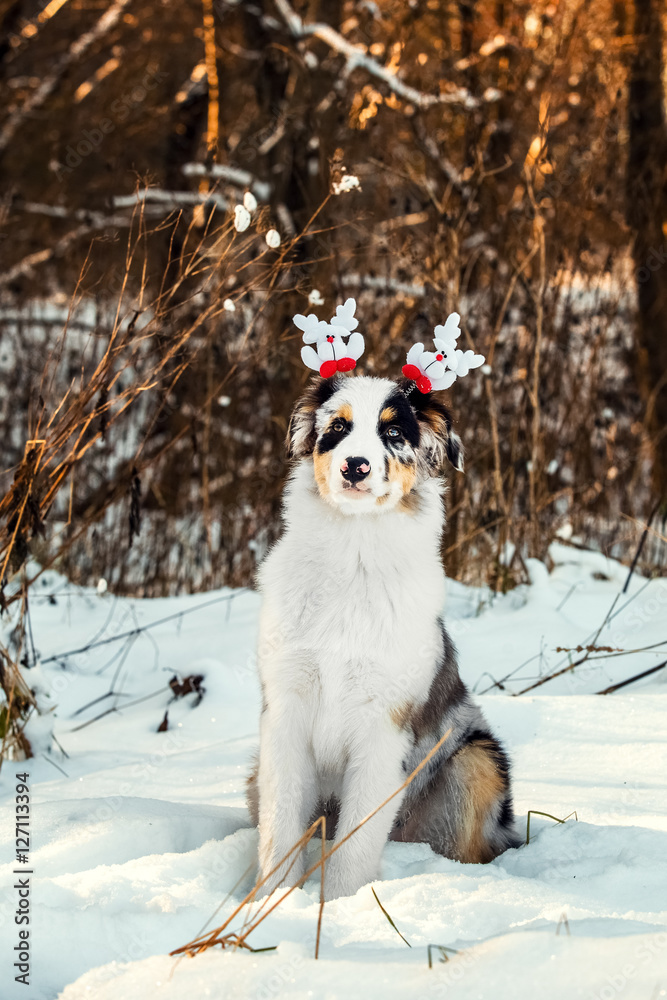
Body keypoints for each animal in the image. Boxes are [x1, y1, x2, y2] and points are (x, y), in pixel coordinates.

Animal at [247, 374, 520, 900]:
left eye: (393, 433)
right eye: (337, 427)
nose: (356, 464)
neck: (353, 554)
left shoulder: (384, 722)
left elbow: (356, 840)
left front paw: (337, 905)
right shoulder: (285, 707)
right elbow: (280, 823)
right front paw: (271, 902)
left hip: (477, 759)